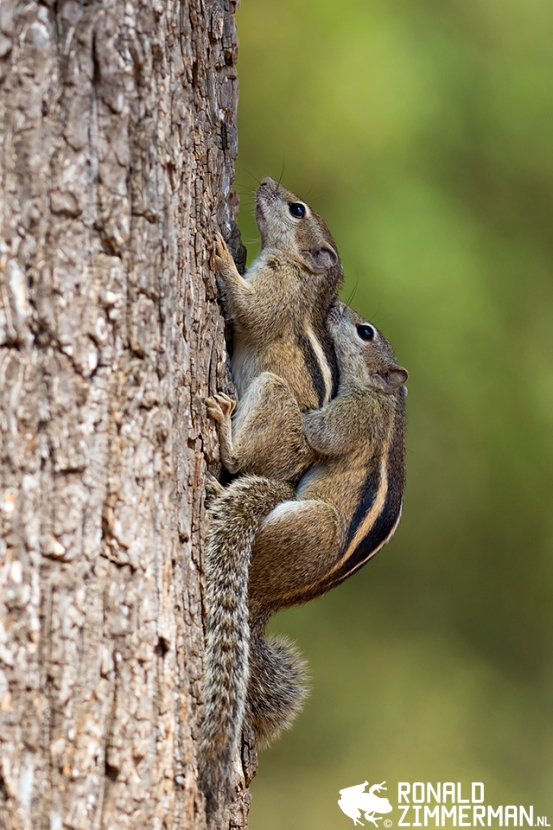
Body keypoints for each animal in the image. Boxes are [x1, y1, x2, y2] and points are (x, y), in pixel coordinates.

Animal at [201, 302, 408, 808]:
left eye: (365, 332)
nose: (336, 308)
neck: (388, 397)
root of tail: (267, 598)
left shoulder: (350, 417)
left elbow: (318, 430)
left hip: (308, 524)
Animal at [210, 179, 340, 484]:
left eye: (297, 210)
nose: (266, 181)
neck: (302, 272)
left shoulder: (279, 289)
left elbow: (251, 311)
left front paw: (224, 257)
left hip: (273, 391)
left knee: (237, 461)